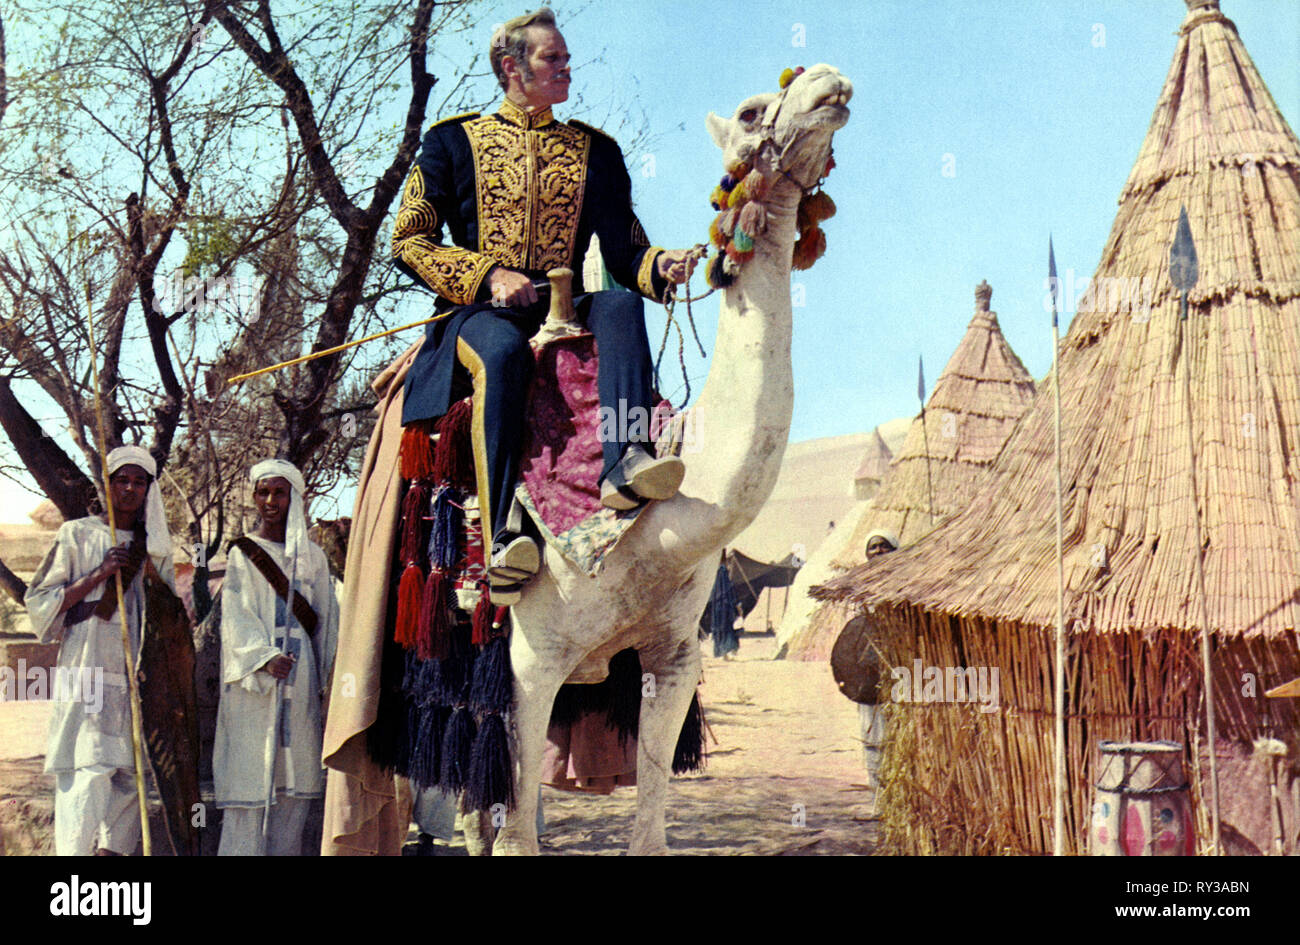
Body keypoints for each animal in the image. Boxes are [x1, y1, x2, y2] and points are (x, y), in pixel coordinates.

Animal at [493, 62, 852, 852]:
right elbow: (512, 831)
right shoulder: (530, 661)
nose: (830, 80)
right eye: (751, 110)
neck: (658, 525)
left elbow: (651, 817)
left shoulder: (673, 657)